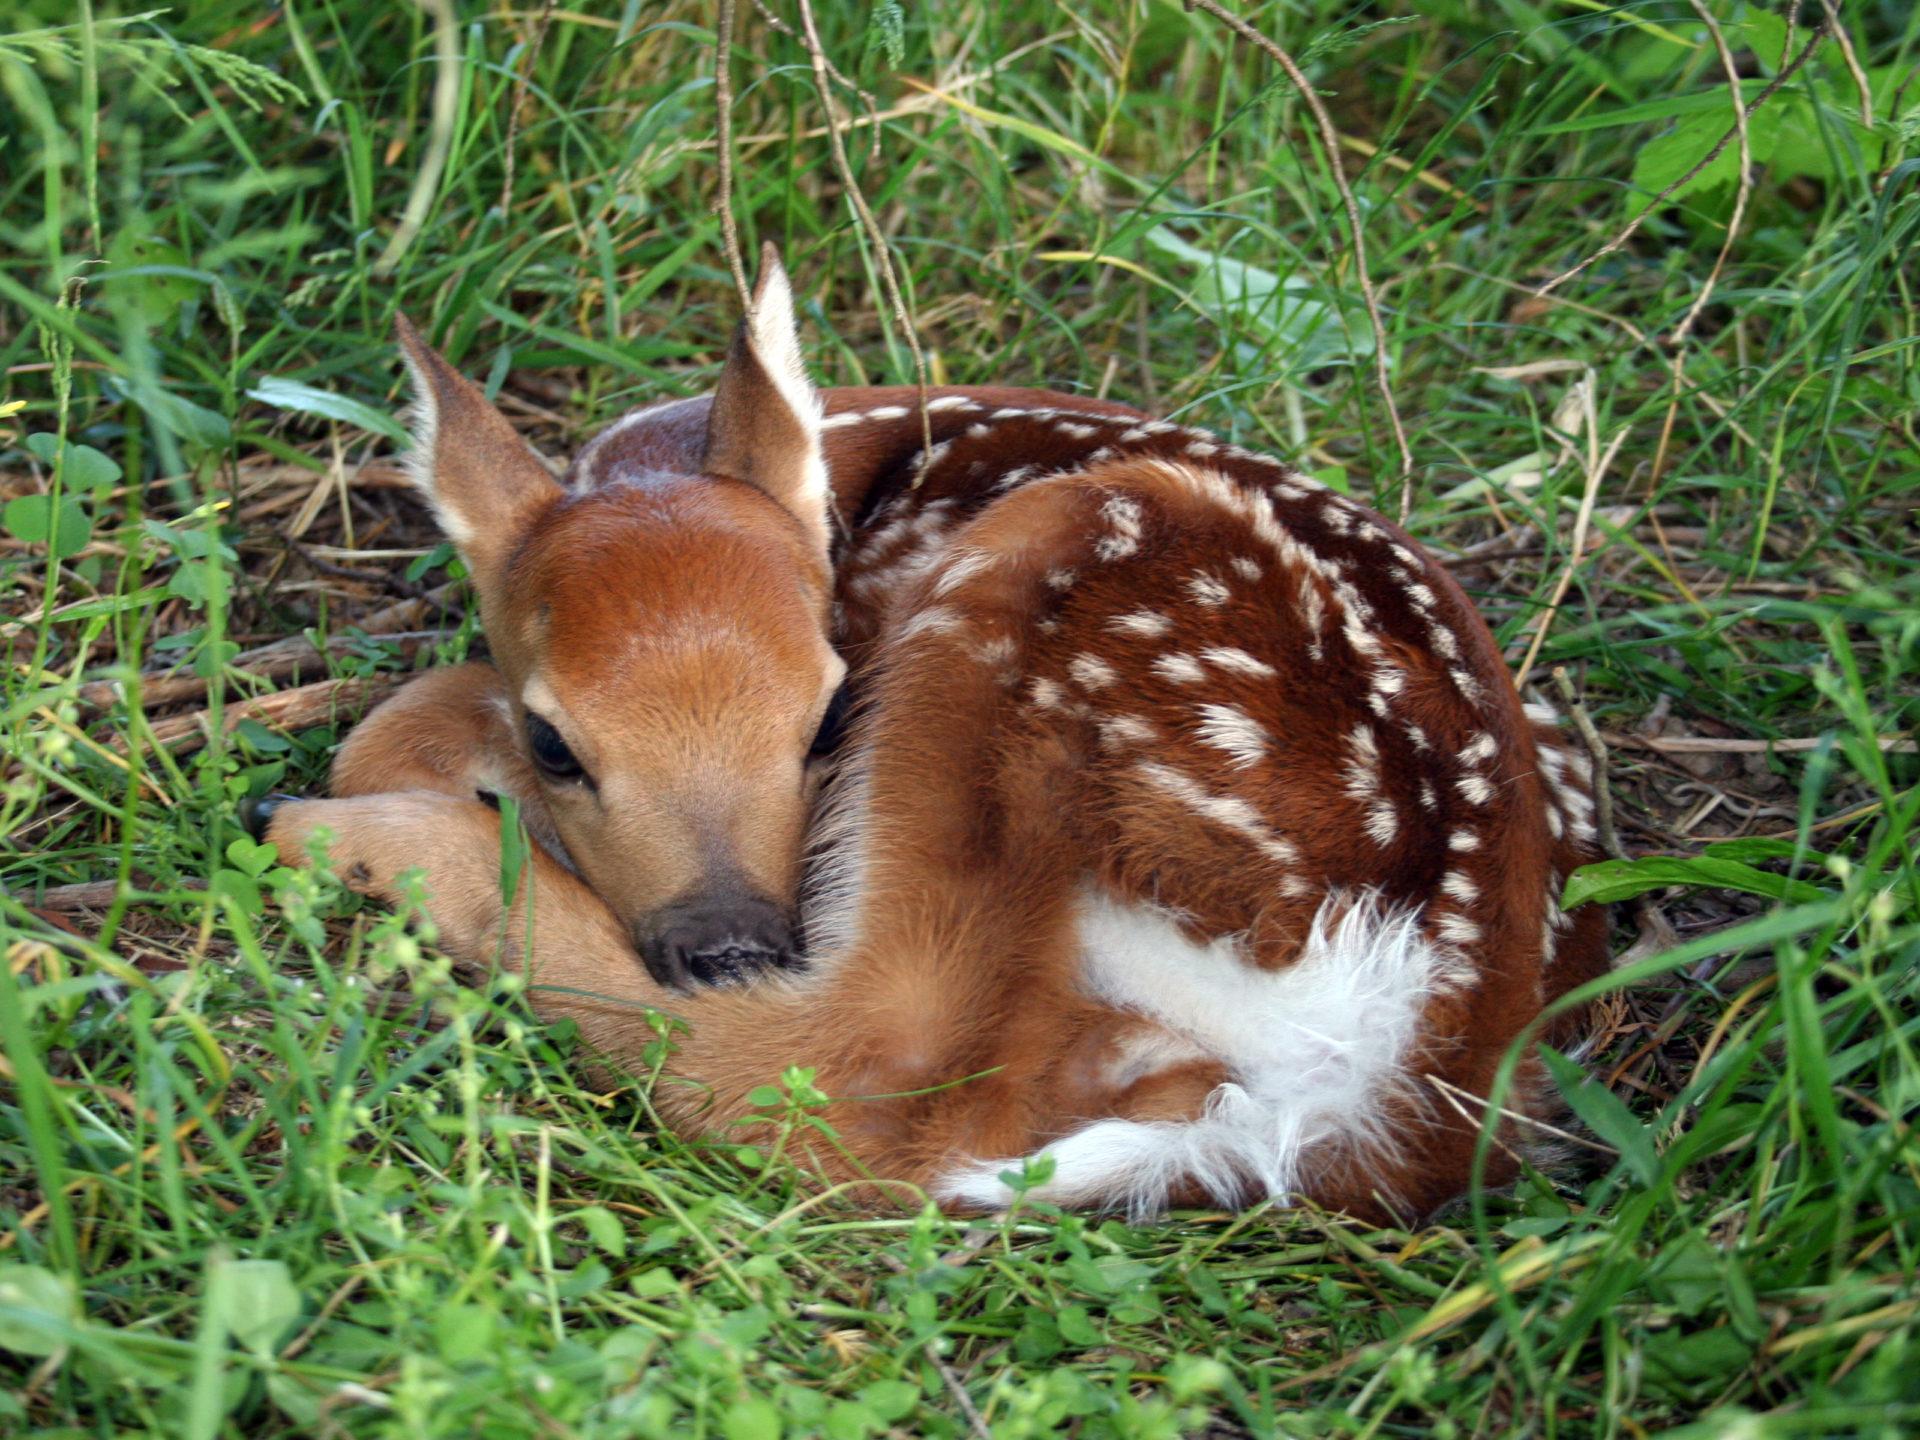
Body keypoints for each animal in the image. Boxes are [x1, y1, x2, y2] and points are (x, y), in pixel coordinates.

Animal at [246, 246, 1610, 1221]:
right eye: (557, 744)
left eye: (830, 717)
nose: (729, 941)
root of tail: (1405, 1075)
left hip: (1044, 586)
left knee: (859, 1072)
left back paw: (339, 840)